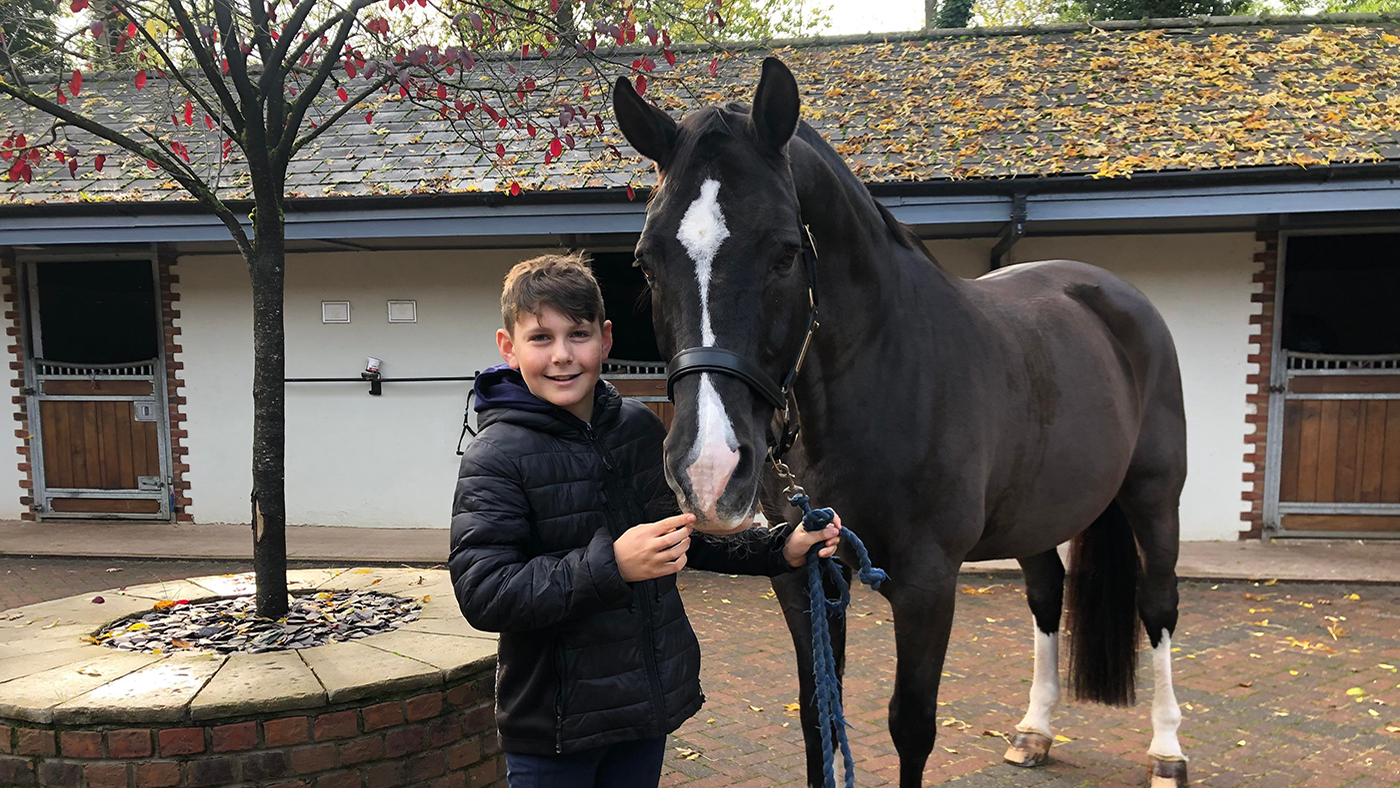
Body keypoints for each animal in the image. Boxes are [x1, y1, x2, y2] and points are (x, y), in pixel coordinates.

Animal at [618, 57, 1187, 788]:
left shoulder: (926, 586)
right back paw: (1035, 732)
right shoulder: (799, 573)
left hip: (1154, 498)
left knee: (1158, 605)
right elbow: (818, 715)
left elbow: (911, 726)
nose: (709, 472)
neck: (882, 374)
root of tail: (1116, 297)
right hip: (1035, 514)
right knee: (1045, 596)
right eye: (646, 260)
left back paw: (1167, 750)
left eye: (785, 252)